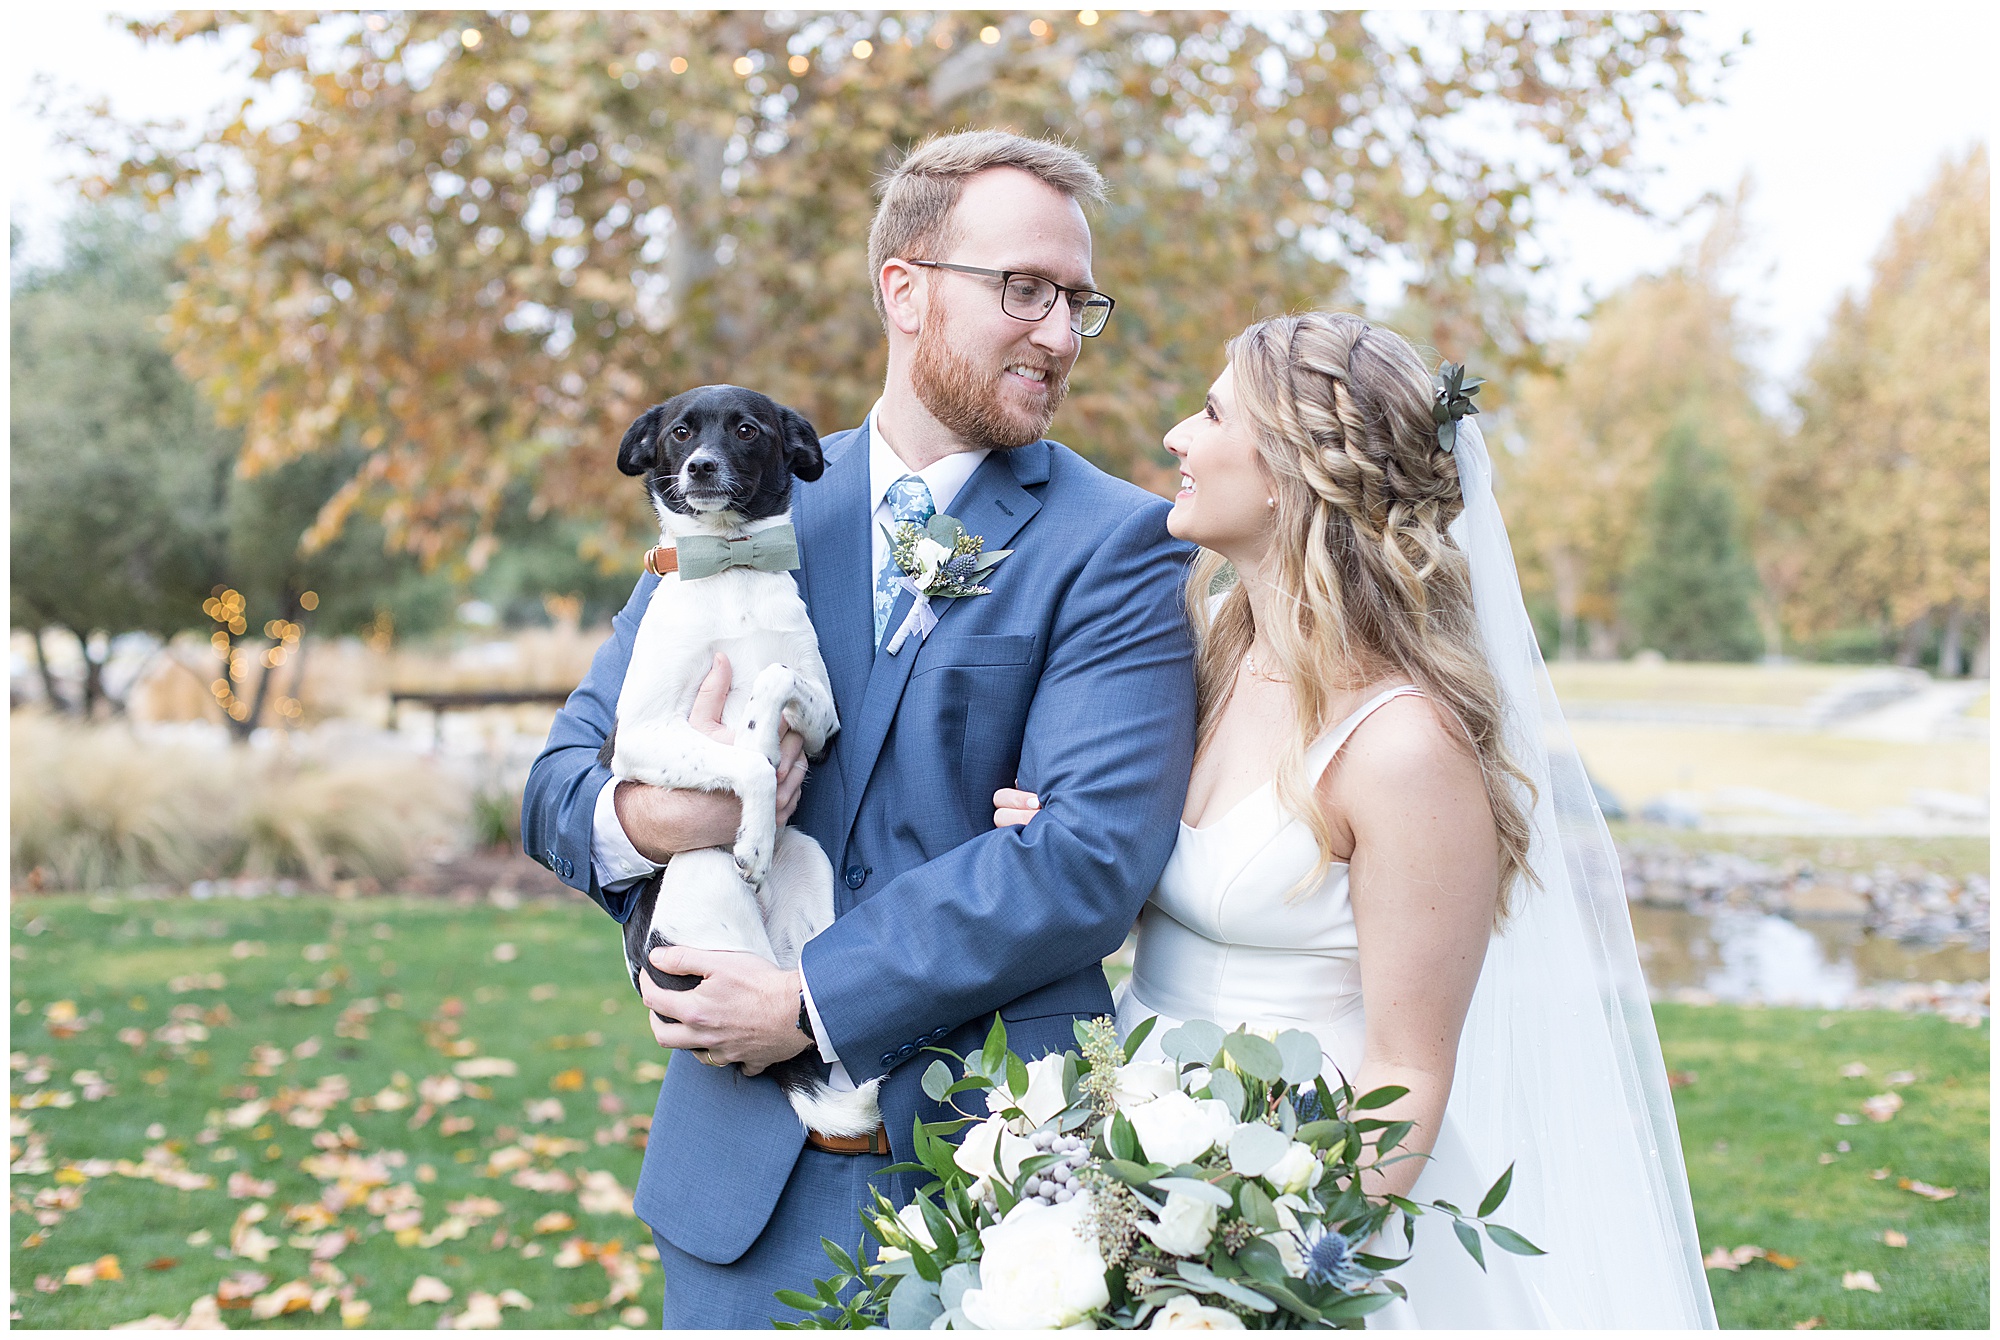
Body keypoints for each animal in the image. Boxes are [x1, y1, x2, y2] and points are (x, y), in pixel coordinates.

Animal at [608, 386, 884, 1144]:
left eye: (747, 430)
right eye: (678, 433)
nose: (701, 467)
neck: (729, 566)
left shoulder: (821, 720)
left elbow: (774, 677)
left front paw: (759, 735)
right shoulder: (638, 737)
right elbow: (752, 765)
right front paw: (754, 823)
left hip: (809, 865)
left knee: (804, 1000)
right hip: (703, 872)